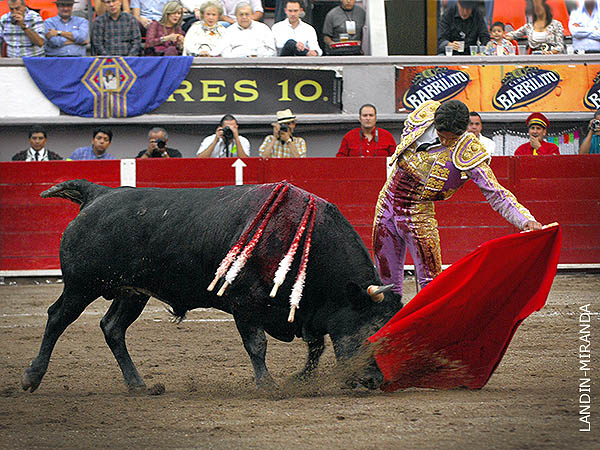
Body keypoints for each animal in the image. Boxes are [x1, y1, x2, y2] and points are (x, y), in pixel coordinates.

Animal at [22, 181, 404, 392]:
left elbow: (316, 347)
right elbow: (258, 345)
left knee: (112, 327)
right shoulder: (244, 303)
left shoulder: (306, 312)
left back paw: (138, 385)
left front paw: (300, 380)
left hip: (132, 293)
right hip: (82, 285)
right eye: (368, 331)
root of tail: (98, 195)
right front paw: (268, 385)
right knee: (57, 318)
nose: (374, 382)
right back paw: (32, 377)